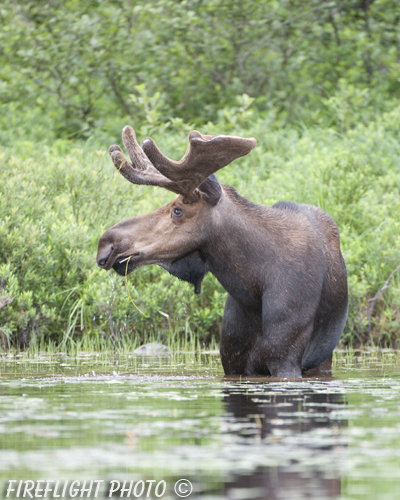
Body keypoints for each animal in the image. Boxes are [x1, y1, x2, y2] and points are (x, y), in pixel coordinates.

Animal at [97, 127, 346, 376]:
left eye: (177, 210)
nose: (106, 243)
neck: (251, 287)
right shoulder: (232, 359)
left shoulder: (285, 359)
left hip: (322, 357)